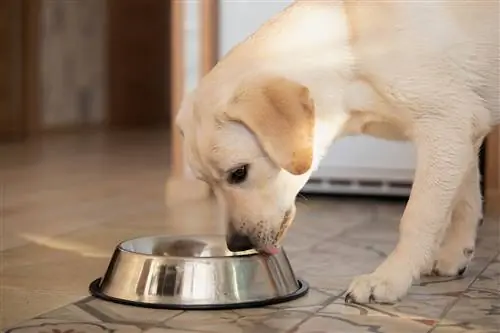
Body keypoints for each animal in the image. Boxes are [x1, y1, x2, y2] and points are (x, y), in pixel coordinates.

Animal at [174, 0, 498, 304]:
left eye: (239, 172)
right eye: (208, 183)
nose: (237, 244)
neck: (350, 48)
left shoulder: (444, 124)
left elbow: (417, 218)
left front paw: (390, 279)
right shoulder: (463, 133)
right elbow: (466, 202)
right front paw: (455, 255)